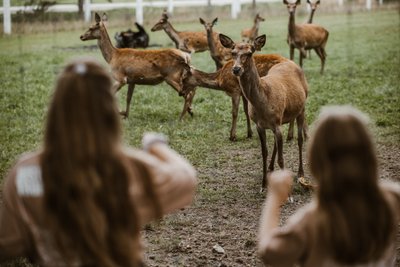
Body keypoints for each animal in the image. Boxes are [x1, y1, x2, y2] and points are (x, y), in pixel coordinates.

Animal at [220, 33, 308, 189]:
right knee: (276, 144)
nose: (236, 69)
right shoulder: (260, 125)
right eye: (233, 52)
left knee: (300, 140)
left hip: (302, 108)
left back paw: (300, 174)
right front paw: (263, 183)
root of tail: (291, 62)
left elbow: (281, 158)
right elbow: (264, 152)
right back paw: (271, 168)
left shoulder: (277, 122)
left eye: (250, 53)